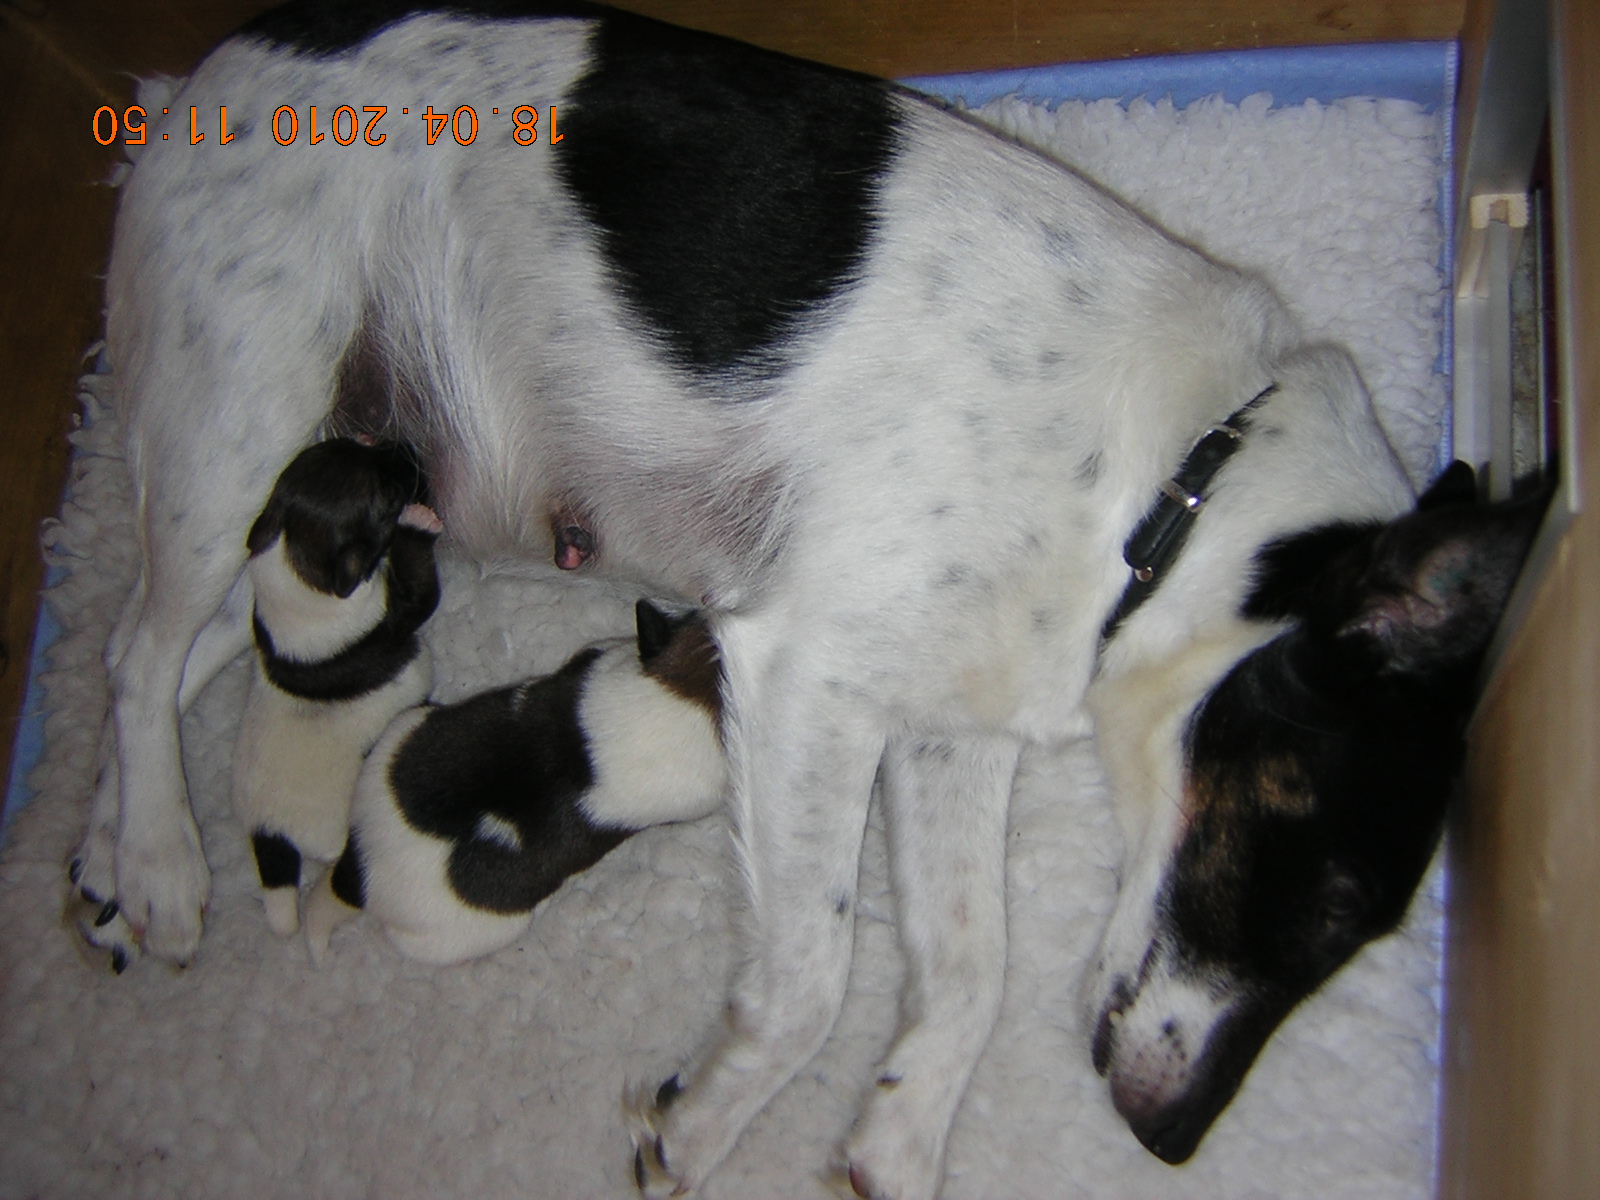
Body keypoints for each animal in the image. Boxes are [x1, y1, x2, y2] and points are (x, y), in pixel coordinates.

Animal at [233, 438, 444, 940]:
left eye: (354, 444)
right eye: (387, 498)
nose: (407, 445)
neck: (296, 575)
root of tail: (269, 837)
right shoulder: (398, 611)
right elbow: (421, 588)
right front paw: (418, 522)